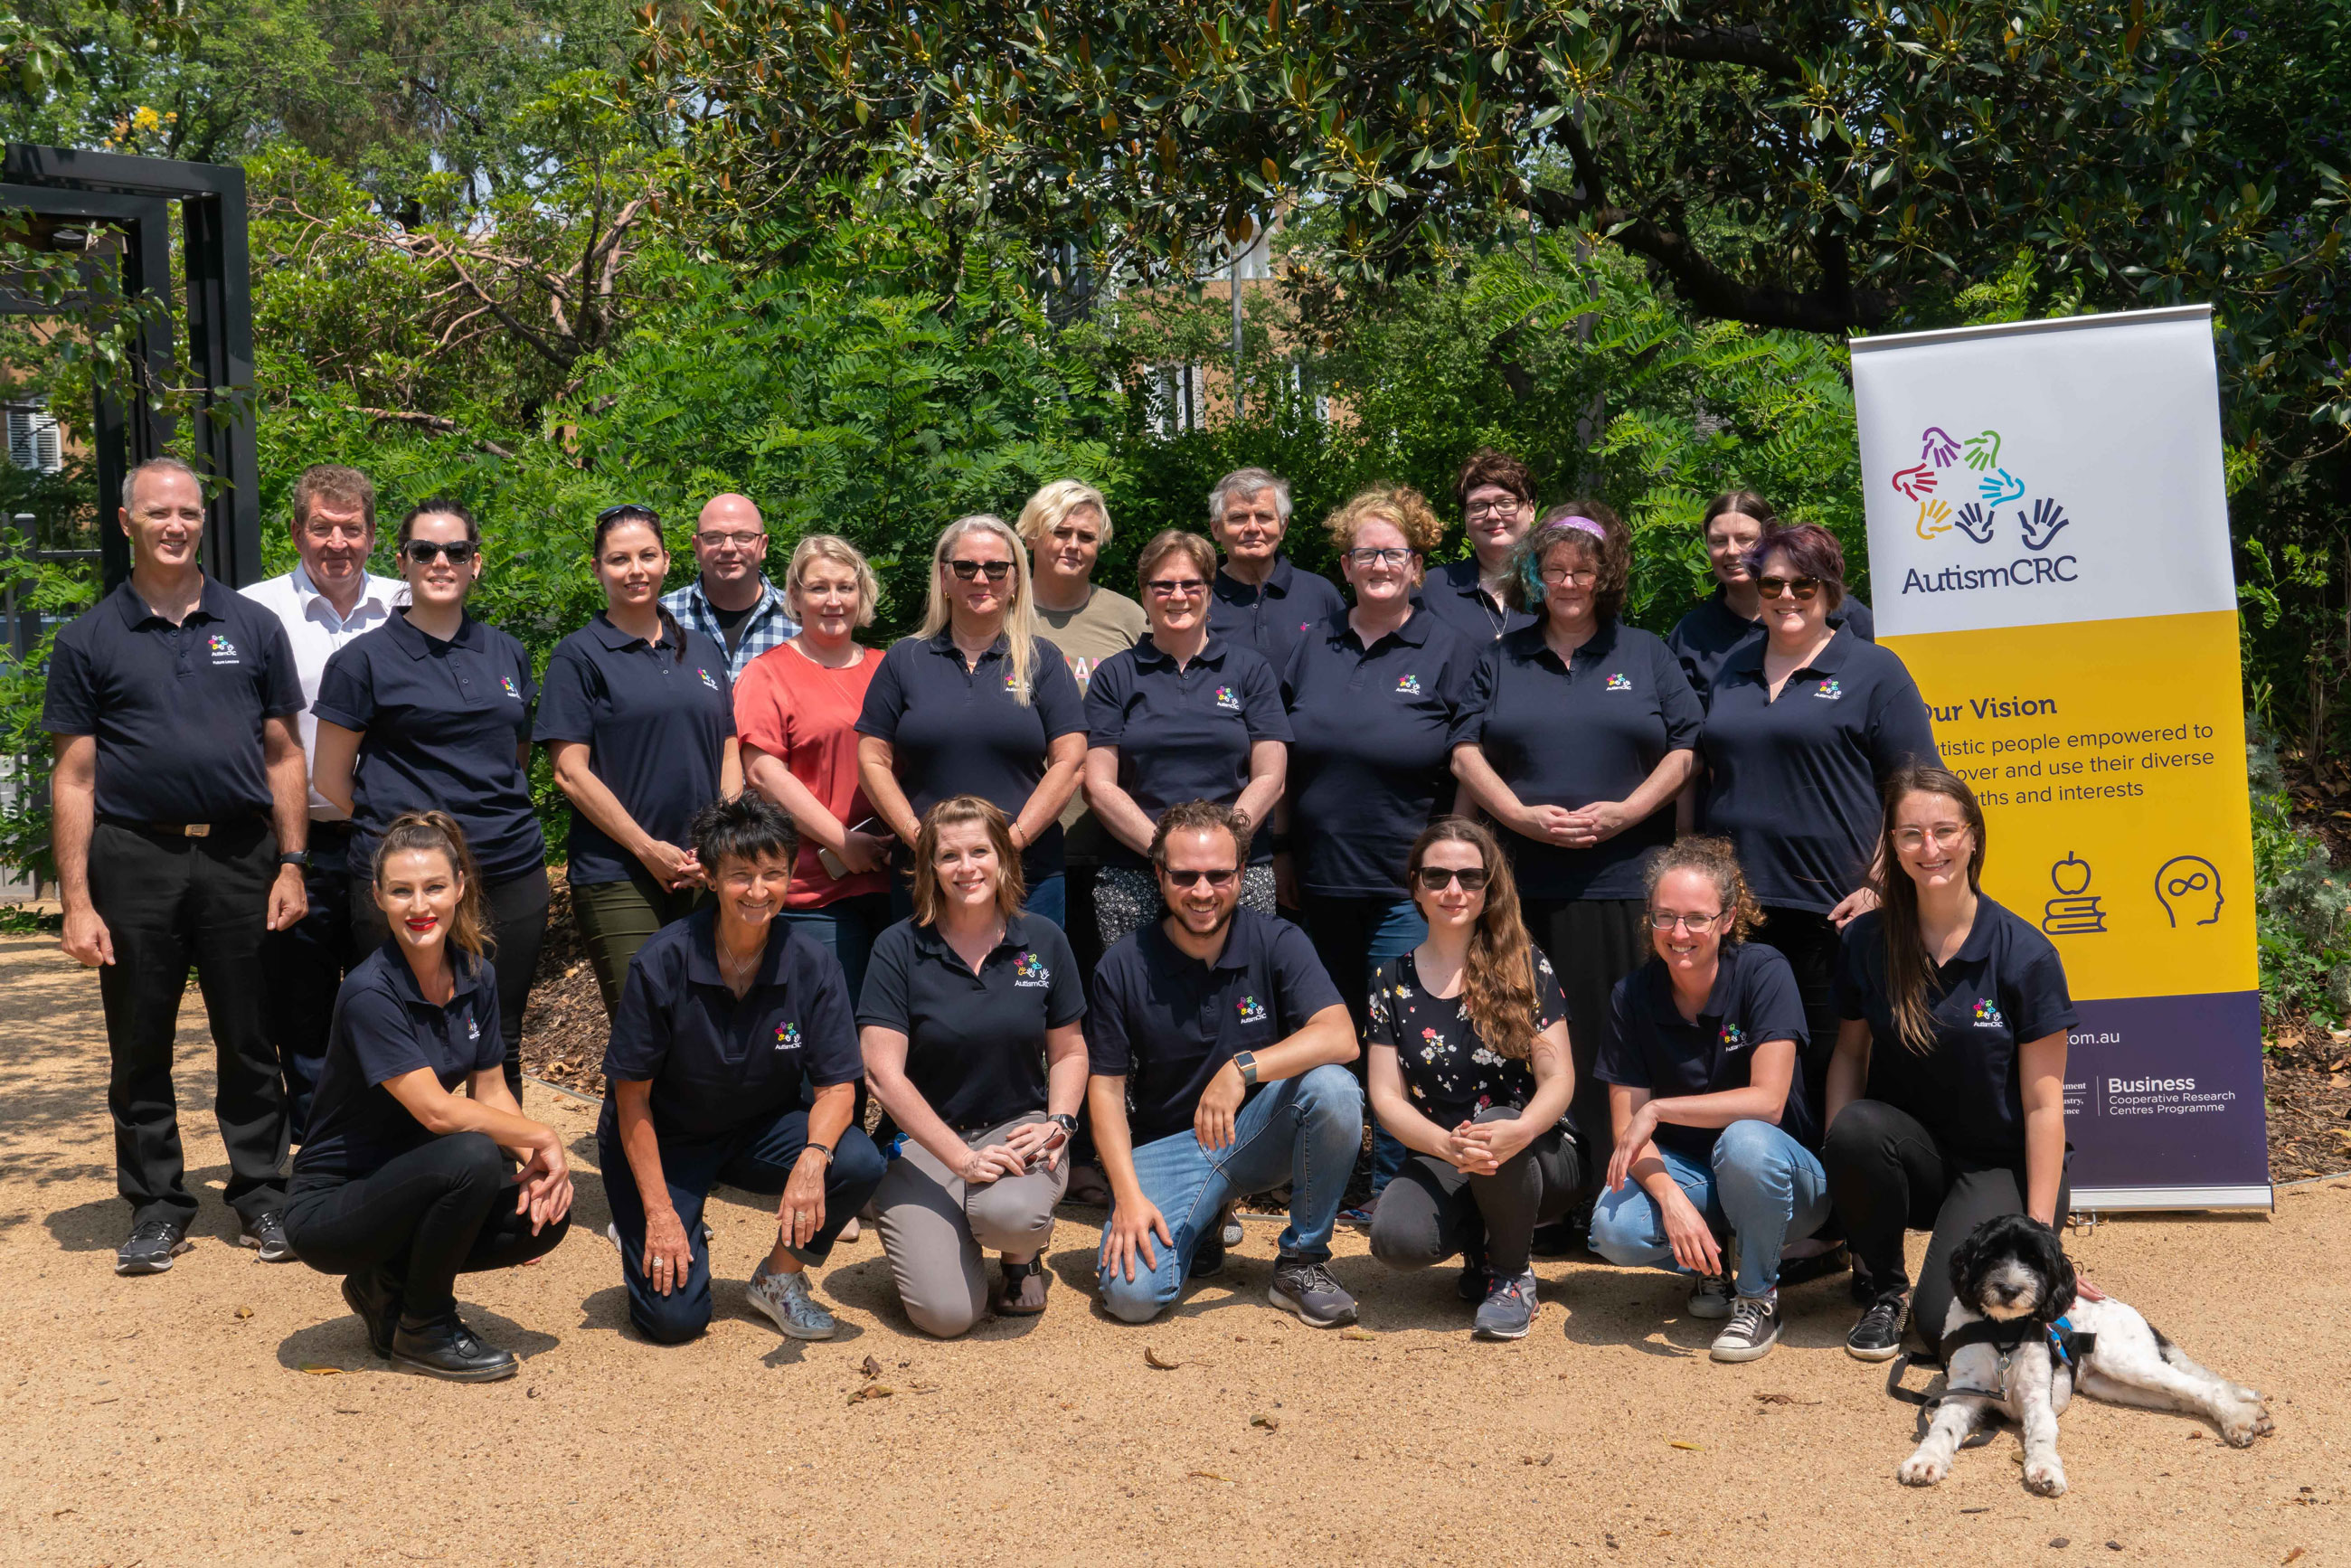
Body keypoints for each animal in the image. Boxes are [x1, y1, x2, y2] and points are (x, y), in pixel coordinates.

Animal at [1899, 1213, 2266, 1495]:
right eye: (1991, 1256)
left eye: (2036, 1261)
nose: (2010, 1289)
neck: (2003, 1335)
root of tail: (2127, 1309)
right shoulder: (1963, 1394)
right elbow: (1942, 1429)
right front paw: (1925, 1461)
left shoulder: (2037, 1398)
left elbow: (2042, 1435)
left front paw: (2045, 1470)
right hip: (2116, 1385)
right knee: (2184, 1396)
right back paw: (2247, 1413)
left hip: (2125, 1361)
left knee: (2201, 1387)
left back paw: (2238, 1419)